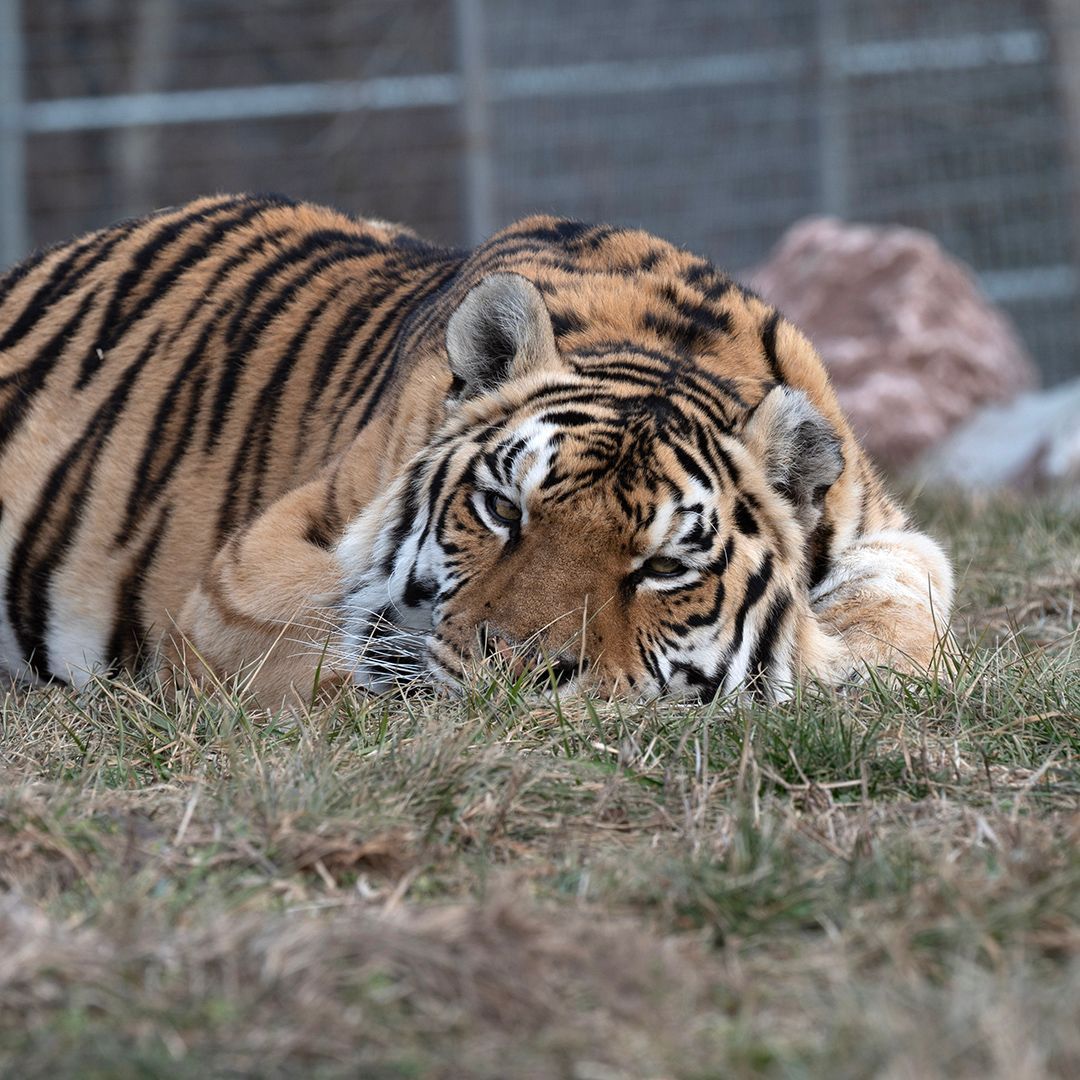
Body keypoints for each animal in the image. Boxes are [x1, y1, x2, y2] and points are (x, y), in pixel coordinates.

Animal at [0, 193, 953, 707]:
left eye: (662, 568)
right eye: (502, 510)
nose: (521, 671)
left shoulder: (894, 537)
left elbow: (898, 614)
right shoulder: (244, 580)